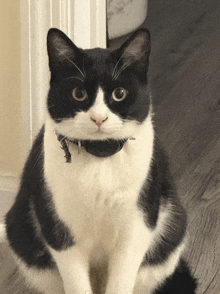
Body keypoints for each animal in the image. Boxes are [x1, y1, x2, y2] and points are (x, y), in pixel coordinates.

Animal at [3, 28, 196, 294]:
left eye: (119, 94)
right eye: (78, 93)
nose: (98, 118)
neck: (100, 158)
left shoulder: (137, 226)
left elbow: (122, 280)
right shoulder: (58, 228)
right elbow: (76, 283)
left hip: (169, 234)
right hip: (25, 241)